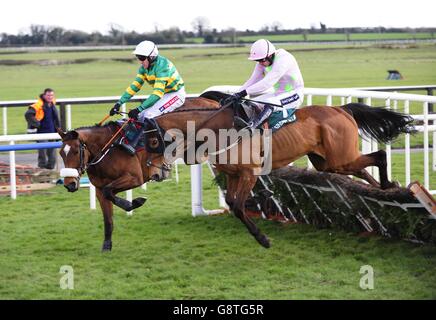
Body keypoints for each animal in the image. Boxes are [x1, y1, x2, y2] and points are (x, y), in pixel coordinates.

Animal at [148, 91, 414, 249]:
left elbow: (238, 206)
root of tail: (341, 109)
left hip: (340, 156)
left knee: (379, 156)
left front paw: (263, 239)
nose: (157, 173)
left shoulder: (249, 173)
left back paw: (388, 186)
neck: (219, 126)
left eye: (151, 141)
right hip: (329, 161)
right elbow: (233, 203)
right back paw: (385, 189)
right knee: (363, 171)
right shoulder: (234, 174)